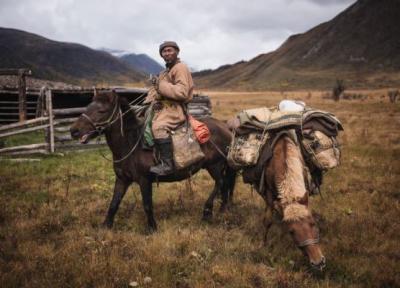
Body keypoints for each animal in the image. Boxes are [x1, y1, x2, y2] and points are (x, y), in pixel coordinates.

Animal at [70, 91, 236, 233]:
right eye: (88, 107)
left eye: (101, 111)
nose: (73, 131)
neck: (131, 144)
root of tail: (225, 126)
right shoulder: (122, 179)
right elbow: (114, 203)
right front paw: (105, 226)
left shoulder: (144, 180)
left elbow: (147, 205)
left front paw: (152, 228)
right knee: (225, 185)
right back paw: (223, 210)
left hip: (214, 165)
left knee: (221, 183)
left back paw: (207, 212)